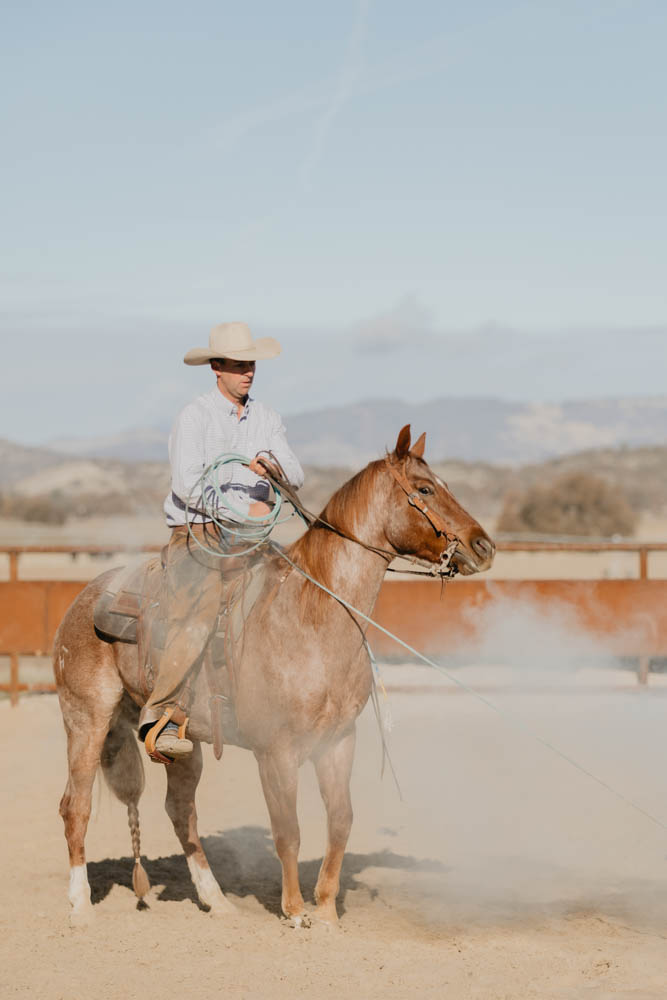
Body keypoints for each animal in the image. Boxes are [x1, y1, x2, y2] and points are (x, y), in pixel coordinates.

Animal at [53, 420, 496, 920]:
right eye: (424, 489)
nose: (484, 546)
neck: (311, 616)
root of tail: (87, 597)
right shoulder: (276, 752)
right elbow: (289, 830)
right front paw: (295, 911)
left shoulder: (337, 741)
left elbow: (340, 821)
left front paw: (326, 910)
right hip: (86, 721)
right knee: (75, 806)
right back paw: (81, 904)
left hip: (184, 743)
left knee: (181, 812)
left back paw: (217, 900)